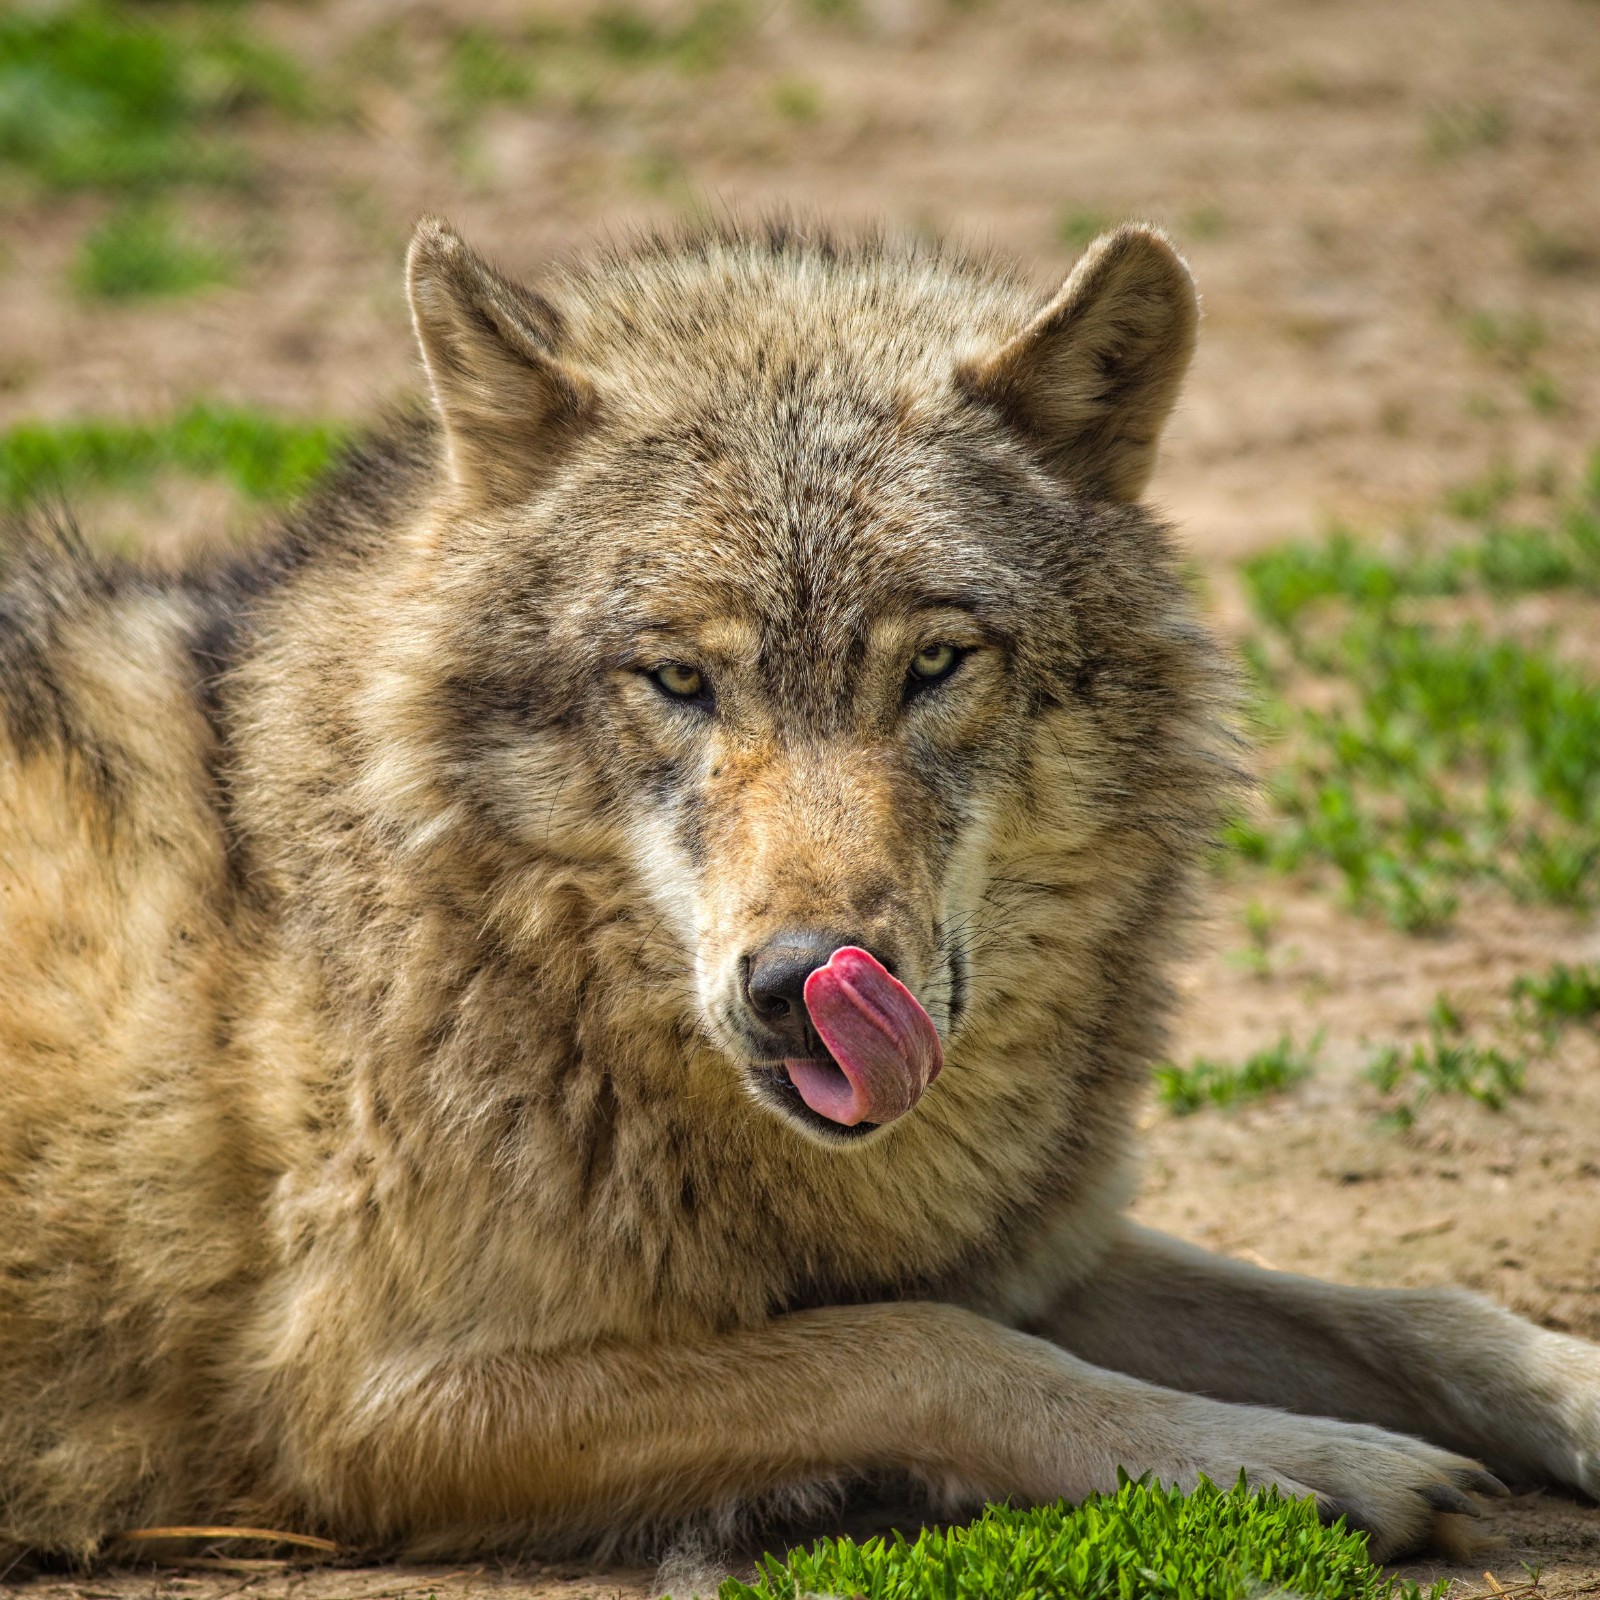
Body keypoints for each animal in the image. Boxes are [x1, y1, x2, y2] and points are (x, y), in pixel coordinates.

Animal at [3, 216, 1598, 1573]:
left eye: (935, 664)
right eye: (678, 679)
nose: (800, 985)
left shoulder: (1022, 1245)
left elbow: (1420, 1312)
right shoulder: (370, 1405)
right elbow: (921, 1347)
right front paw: (1291, 1464)